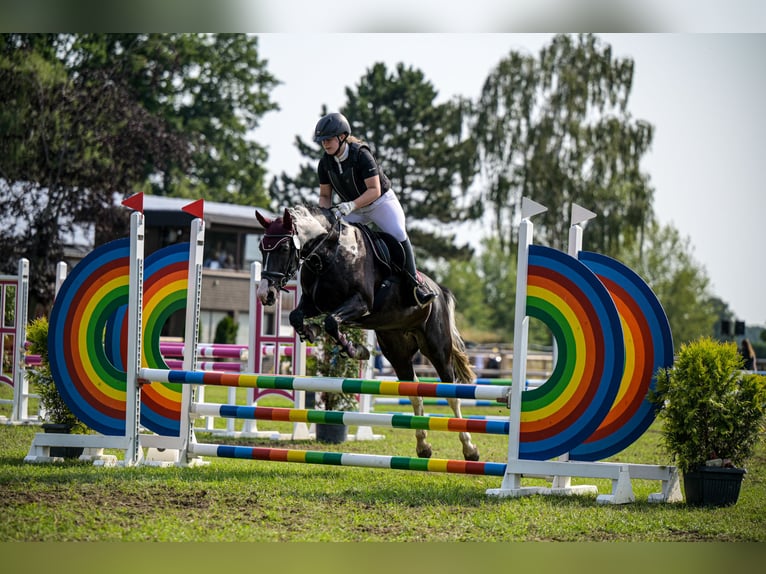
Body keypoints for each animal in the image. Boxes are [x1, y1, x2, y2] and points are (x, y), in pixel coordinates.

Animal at [256, 207, 480, 464]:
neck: (327, 255)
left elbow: (331, 321)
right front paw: (312, 331)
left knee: (452, 393)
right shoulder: (313, 303)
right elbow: (297, 317)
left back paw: (470, 449)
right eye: (262, 247)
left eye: (284, 248)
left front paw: (356, 350)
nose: (265, 294)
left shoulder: (360, 302)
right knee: (415, 393)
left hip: (436, 348)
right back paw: (423, 447)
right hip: (397, 351)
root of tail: (439, 289)